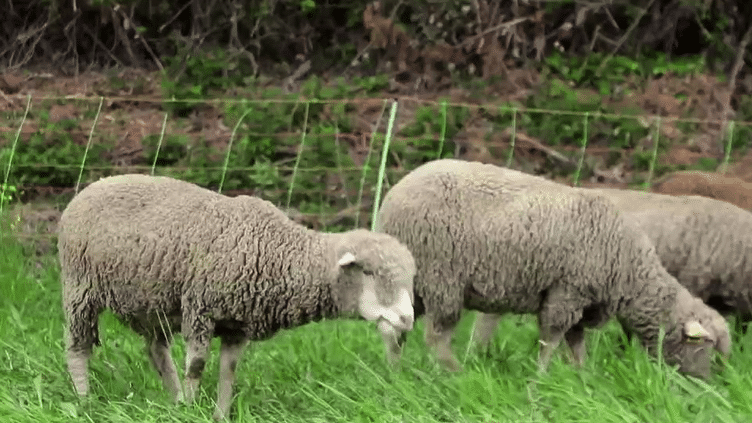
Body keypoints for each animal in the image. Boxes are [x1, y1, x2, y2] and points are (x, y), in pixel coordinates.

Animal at [57, 174, 418, 422]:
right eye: (369, 272)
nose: (407, 319)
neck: (277, 252)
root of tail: (94, 185)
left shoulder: (236, 324)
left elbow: (228, 371)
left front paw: (219, 414)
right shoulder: (200, 309)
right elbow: (197, 367)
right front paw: (192, 409)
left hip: (153, 302)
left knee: (156, 351)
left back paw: (173, 400)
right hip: (79, 289)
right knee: (77, 348)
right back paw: (85, 400)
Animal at [374, 159, 728, 380]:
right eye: (706, 348)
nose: (705, 386)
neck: (628, 269)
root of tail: (391, 199)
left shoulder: (583, 304)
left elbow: (576, 346)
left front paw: (584, 379)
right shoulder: (568, 291)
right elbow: (551, 340)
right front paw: (541, 377)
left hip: (413, 285)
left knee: (395, 330)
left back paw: (394, 372)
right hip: (442, 279)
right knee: (435, 338)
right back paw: (456, 373)